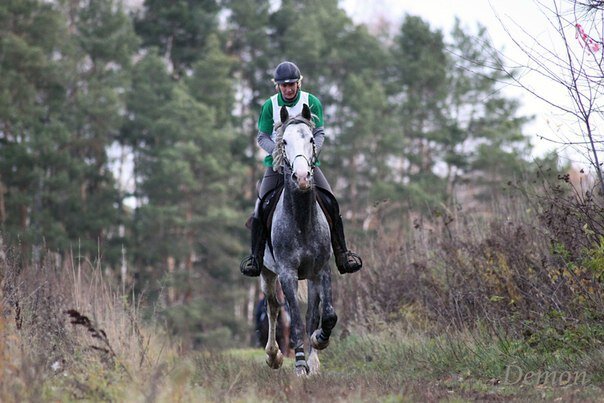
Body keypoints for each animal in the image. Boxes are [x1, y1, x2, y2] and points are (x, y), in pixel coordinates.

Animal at [258, 105, 336, 378]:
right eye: (283, 141)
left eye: (311, 139)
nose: (301, 177)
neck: (301, 220)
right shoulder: (287, 274)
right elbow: (296, 321)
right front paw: (300, 366)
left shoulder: (320, 270)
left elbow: (324, 314)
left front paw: (318, 344)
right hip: (267, 273)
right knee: (273, 307)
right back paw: (273, 357)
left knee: (312, 312)